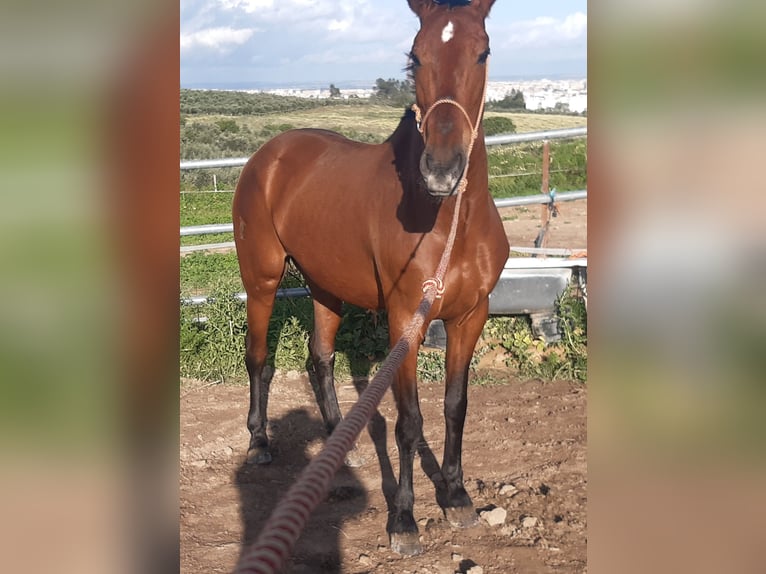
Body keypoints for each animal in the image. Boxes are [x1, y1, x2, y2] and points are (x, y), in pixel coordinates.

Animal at [234, 0, 510, 560]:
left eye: (483, 51)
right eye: (415, 56)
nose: (442, 168)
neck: (448, 220)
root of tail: (268, 156)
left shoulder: (471, 316)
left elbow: (455, 407)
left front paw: (456, 496)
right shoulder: (406, 320)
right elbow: (408, 422)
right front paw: (403, 520)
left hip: (325, 286)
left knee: (319, 358)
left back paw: (341, 448)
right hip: (263, 282)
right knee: (259, 360)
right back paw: (259, 443)